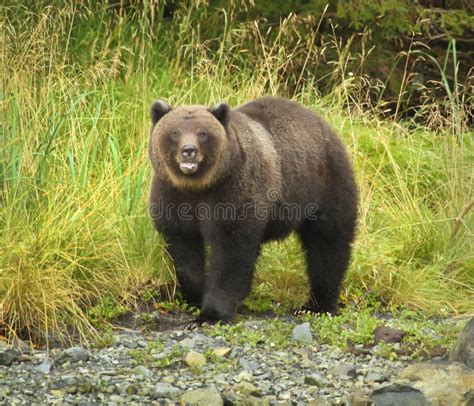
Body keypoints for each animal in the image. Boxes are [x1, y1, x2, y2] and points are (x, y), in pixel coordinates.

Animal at [148, 96, 356, 328]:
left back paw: (318, 305)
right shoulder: (172, 196)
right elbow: (184, 251)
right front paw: (195, 296)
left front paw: (210, 314)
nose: (189, 150)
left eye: (202, 132)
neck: (198, 186)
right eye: (175, 132)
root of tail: (322, 123)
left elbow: (232, 252)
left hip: (324, 184)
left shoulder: (233, 191)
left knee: (328, 244)